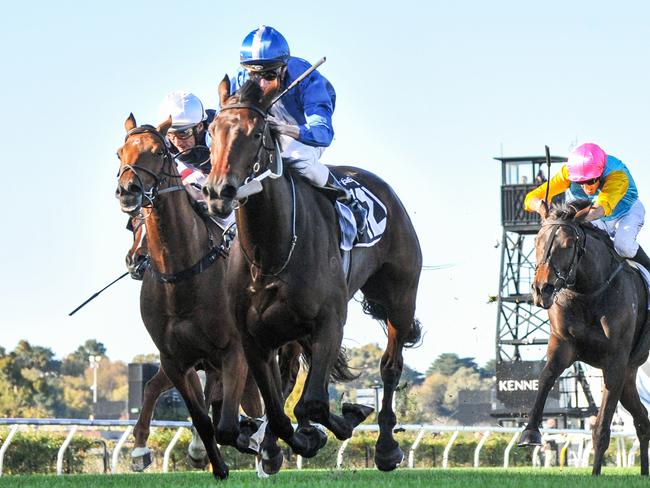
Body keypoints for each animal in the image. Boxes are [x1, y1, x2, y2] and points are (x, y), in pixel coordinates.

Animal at [204, 78, 426, 470]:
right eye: (212, 131)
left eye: (256, 132)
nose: (218, 191)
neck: (270, 253)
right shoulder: (253, 337)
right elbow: (278, 410)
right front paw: (286, 443)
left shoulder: (329, 321)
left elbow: (313, 402)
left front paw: (337, 423)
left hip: (399, 297)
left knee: (390, 366)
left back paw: (386, 447)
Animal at [520, 199, 648, 476]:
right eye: (537, 240)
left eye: (568, 244)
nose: (542, 289)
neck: (588, 292)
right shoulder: (563, 345)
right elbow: (546, 376)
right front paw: (530, 432)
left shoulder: (615, 361)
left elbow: (602, 424)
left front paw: (596, 473)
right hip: (631, 374)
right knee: (643, 420)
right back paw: (644, 471)